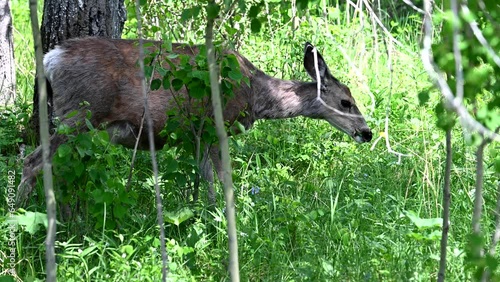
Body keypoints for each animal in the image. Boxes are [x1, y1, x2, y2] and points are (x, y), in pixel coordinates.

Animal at [17, 38, 374, 205]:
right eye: (346, 101)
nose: (367, 132)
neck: (256, 95)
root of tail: (51, 58)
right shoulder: (216, 128)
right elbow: (219, 181)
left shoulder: (197, 137)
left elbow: (204, 180)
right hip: (79, 113)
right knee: (33, 161)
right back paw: (20, 216)